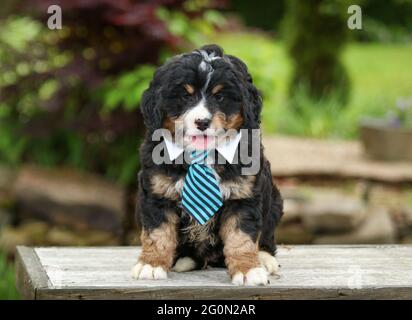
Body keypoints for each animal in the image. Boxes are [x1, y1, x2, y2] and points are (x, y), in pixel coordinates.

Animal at [132, 43, 284, 284]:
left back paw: (264, 258)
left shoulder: (243, 195)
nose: (202, 122)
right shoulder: (157, 192)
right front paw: (152, 264)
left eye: (220, 96)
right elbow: (157, 232)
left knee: (267, 236)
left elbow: (241, 237)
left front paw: (247, 269)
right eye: (185, 96)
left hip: (275, 200)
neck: (202, 155)